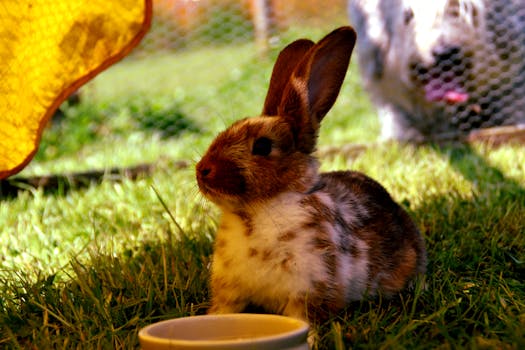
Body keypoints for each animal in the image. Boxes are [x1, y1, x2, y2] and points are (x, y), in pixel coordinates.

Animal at [194, 26, 424, 322]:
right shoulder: (230, 294)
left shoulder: (308, 289)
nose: (202, 170)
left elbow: (303, 319)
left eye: (263, 146)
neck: (256, 210)